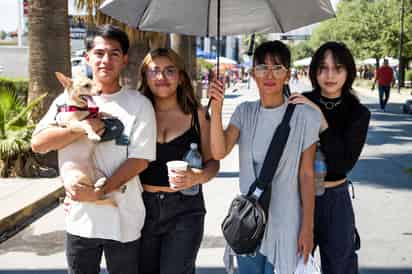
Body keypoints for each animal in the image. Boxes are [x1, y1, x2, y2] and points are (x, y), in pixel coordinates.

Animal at [54, 71, 116, 207]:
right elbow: (86, 124)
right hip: (77, 178)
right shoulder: (72, 124)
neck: (81, 109)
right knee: (92, 190)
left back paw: (103, 182)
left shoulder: (94, 115)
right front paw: (93, 135)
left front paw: (111, 114)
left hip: (98, 171)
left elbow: (101, 113)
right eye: (86, 85)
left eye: (94, 82)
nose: (100, 90)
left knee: (97, 188)